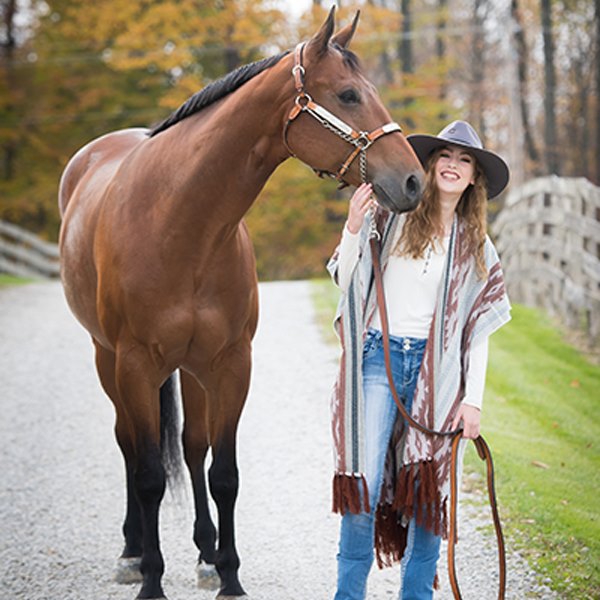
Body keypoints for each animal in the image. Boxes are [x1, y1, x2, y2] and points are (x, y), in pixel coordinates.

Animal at [56, 7, 422, 596]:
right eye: (347, 95)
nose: (412, 180)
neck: (180, 223)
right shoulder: (135, 364)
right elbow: (149, 474)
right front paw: (152, 579)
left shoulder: (230, 363)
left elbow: (222, 473)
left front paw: (228, 573)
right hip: (107, 358)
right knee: (130, 446)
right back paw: (133, 551)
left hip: (188, 367)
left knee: (191, 446)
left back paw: (204, 553)